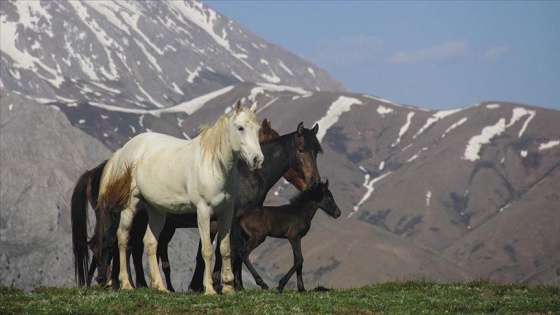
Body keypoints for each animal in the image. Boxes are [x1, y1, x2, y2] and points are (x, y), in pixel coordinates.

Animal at [96, 100, 262, 296]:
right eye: (240, 128)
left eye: (258, 129)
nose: (257, 159)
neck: (214, 166)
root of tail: (123, 150)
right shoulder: (203, 211)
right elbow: (207, 250)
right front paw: (209, 289)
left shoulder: (227, 212)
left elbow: (225, 248)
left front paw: (228, 288)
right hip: (130, 205)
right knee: (123, 238)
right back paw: (126, 283)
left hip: (156, 211)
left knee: (150, 243)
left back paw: (160, 286)